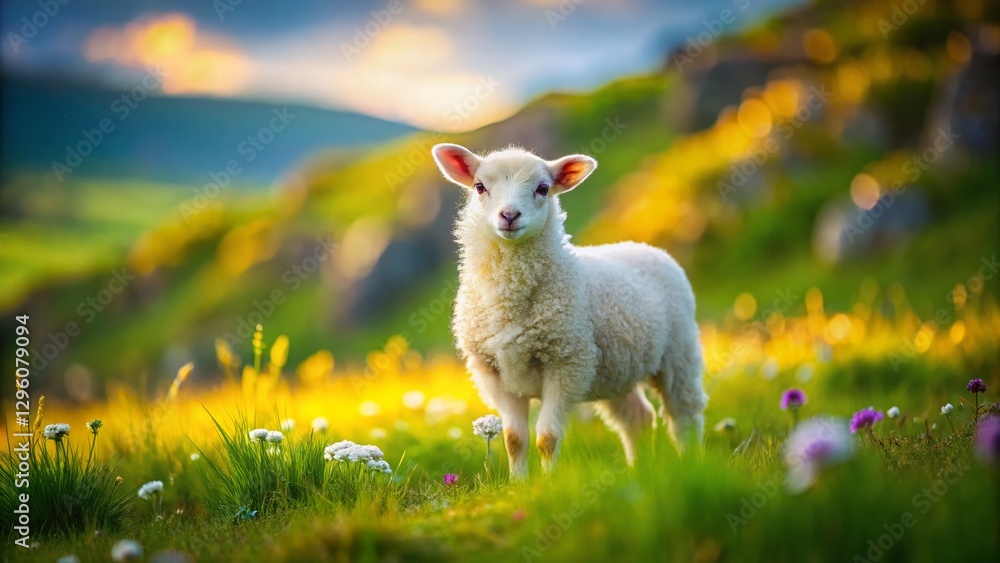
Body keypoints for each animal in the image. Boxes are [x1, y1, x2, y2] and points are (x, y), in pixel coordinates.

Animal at [430, 143, 707, 478]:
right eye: (480, 187)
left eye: (543, 188)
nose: (509, 215)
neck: (510, 299)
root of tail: (645, 247)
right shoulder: (493, 371)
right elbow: (514, 439)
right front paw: (519, 483)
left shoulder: (566, 364)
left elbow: (547, 438)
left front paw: (549, 483)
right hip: (615, 370)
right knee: (638, 418)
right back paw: (637, 470)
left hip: (679, 352)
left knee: (685, 415)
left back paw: (690, 464)